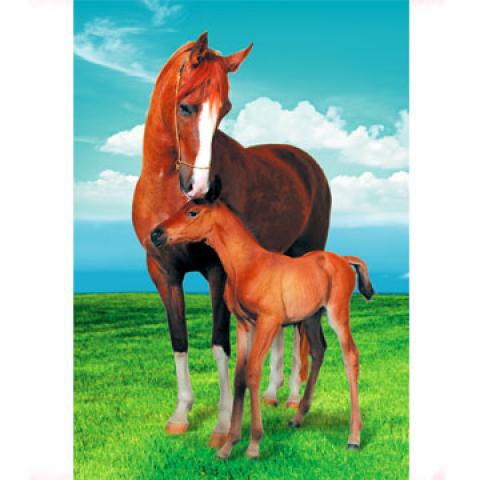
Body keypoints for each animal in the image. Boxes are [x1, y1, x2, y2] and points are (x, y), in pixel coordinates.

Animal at [132, 32, 331, 447]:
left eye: (224, 109)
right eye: (186, 107)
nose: (200, 188)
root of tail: (306, 162)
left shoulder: (217, 272)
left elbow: (220, 343)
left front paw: (223, 424)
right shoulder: (163, 273)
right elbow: (179, 340)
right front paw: (181, 414)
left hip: (306, 254)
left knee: (300, 331)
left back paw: (292, 396)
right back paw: (272, 392)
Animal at [149, 189, 374, 458]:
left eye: (192, 212)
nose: (156, 234)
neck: (248, 265)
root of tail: (343, 259)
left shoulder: (268, 322)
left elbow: (253, 372)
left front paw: (253, 445)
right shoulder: (244, 325)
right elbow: (239, 377)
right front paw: (228, 445)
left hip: (337, 313)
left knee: (350, 356)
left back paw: (354, 437)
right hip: (311, 316)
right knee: (319, 351)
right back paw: (297, 418)